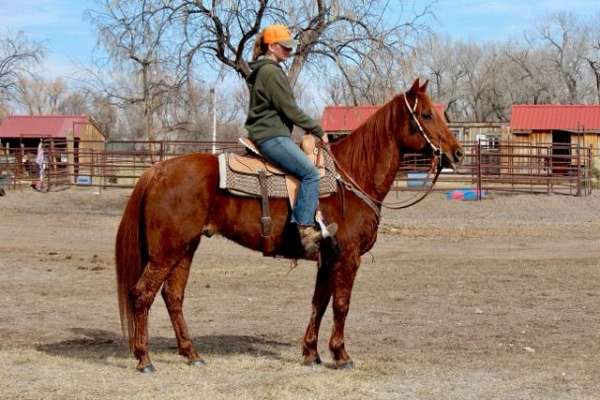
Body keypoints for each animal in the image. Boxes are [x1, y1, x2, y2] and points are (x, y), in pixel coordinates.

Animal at [116, 78, 464, 372]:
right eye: (426, 115)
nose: (457, 153)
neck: (351, 178)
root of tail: (158, 170)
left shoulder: (328, 258)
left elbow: (319, 303)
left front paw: (312, 353)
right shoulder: (347, 257)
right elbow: (341, 305)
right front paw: (341, 355)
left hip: (185, 248)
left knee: (173, 296)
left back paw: (191, 354)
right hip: (166, 252)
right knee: (142, 294)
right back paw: (144, 359)